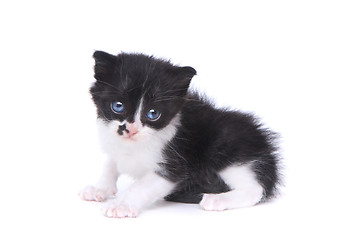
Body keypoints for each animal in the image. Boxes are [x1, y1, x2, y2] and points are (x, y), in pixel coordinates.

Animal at [79, 50, 282, 218]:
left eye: (153, 113)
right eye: (118, 106)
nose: (131, 129)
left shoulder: (173, 166)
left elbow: (142, 186)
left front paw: (121, 205)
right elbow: (111, 164)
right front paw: (100, 188)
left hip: (228, 150)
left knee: (255, 189)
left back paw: (217, 199)